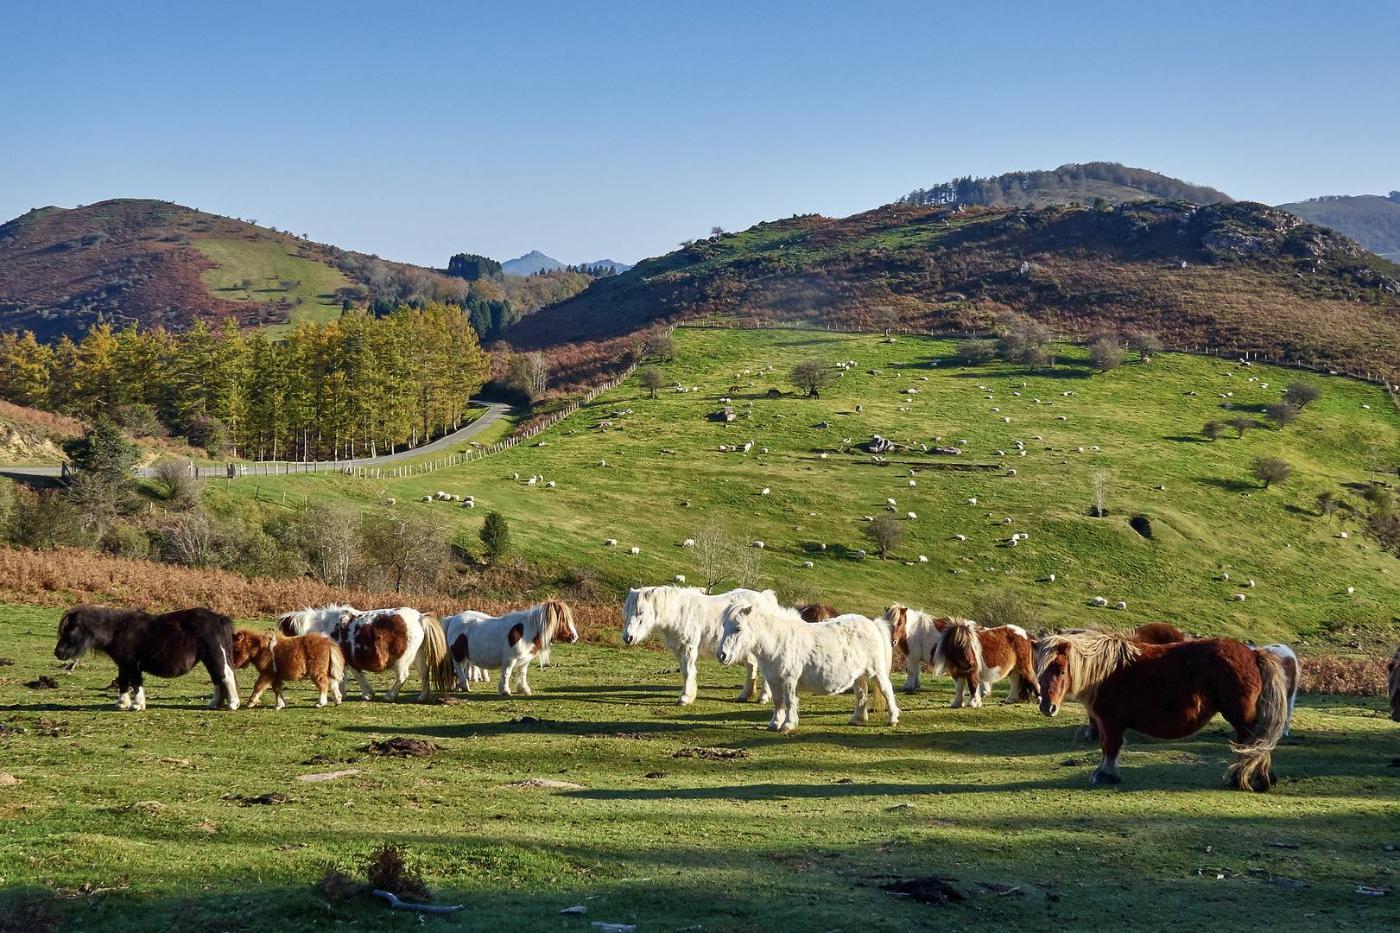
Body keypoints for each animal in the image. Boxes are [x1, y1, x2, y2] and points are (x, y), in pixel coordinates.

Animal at [439, 599, 576, 694]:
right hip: (457, 655)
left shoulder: (524, 661)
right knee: (459, 668)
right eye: (563, 620)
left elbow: (522, 674)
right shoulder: (510, 660)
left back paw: (460, 686)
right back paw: (465, 686)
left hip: (464, 656)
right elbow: (506, 674)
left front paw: (523, 690)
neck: (525, 632)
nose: (574, 637)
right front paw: (505, 690)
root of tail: (453, 619)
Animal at [627, 585, 778, 700]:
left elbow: (688, 671)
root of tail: (765, 599)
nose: (628, 637)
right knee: (751, 666)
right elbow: (685, 672)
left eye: (641, 612)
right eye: (627, 611)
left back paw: (764, 697)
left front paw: (685, 698)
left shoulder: (688, 648)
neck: (679, 613)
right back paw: (745, 695)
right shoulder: (679, 649)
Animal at [716, 588, 901, 734]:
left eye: (738, 628)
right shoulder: (774, 679)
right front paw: (774, 723)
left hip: (876, 671)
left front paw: (787, 725)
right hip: (859, 675)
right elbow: (777, 701)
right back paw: (857, 719)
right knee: (861, 693)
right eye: (724, 626)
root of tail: (872, 624)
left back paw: (892, 719)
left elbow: (789, 701)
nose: (722, 655)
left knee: (886, 690)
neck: (779, 640)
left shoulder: (789, 680)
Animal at [1041, 627, 1288, 790]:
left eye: (1061, 670)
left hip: (1241, 717)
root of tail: (1253, 654)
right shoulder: (1104, 723)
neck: (1105, 671)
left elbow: (1110, 747)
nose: (1047, 707)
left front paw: (1105, 775)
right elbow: (1106, 747)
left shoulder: (1111, 722)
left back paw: (1247, 778)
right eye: (1040, 671)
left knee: (1252, 744)